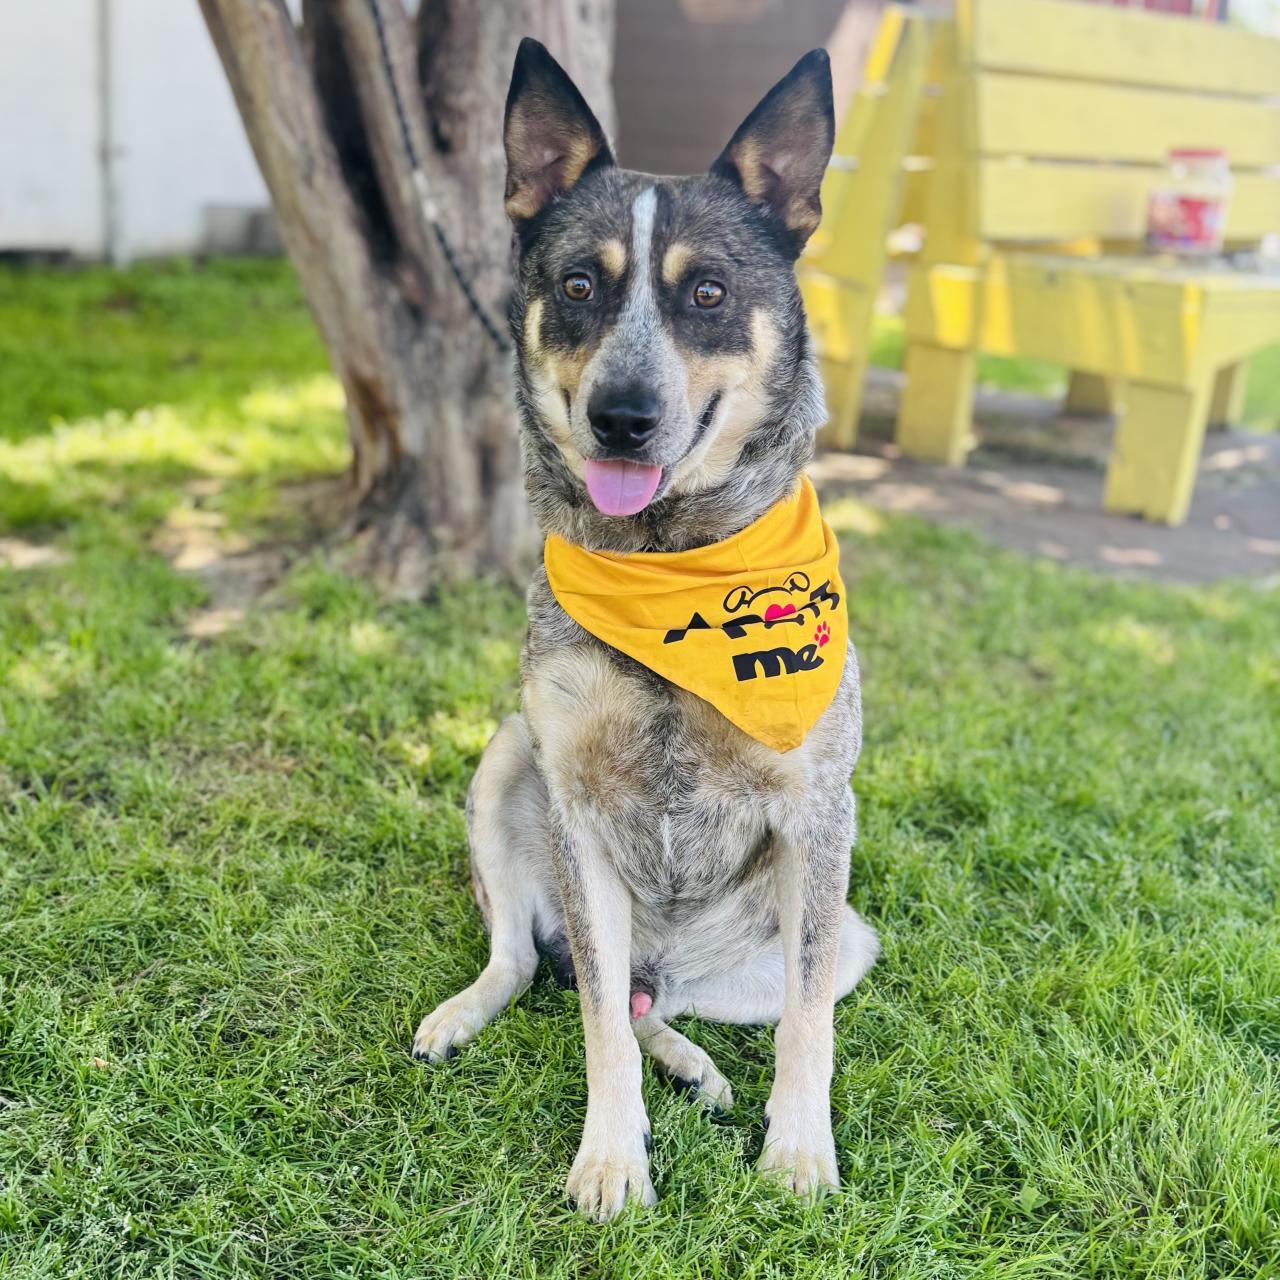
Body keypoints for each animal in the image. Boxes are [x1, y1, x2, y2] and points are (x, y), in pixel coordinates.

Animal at [412, 38, 878, 1221]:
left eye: (706, 292)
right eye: (579, 285)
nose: (620, 417)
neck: (673, 568)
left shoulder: (819, 813)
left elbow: (809, 1024)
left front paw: (798, 1150)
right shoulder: (575, 810)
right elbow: (590, 1027)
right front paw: (612, 1156)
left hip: (842, 933)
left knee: (664, 1003)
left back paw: (698, 1063)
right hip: (503, 764)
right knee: (546, 970)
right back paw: (467, 1014)